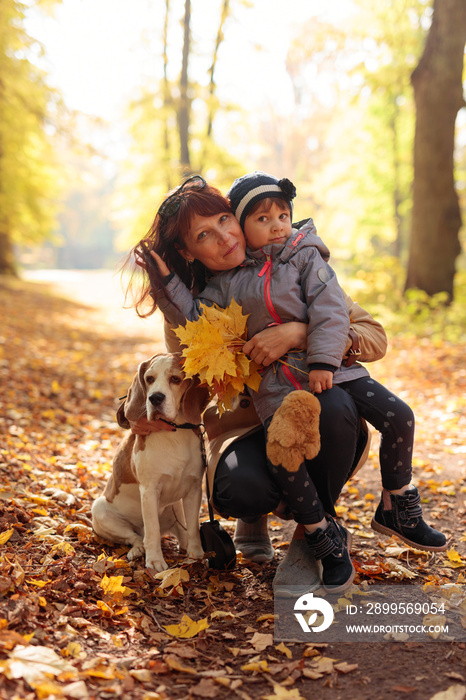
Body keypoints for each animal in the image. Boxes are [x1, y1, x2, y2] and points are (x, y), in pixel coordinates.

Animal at [92, 352, 208, 572]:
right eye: (149, 379)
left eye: (175, 379)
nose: (154, 397)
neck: (175, 432)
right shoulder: (149, 490)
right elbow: (152, 529)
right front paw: (154, 561)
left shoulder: (194, 489)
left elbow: (194, 528)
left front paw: (196, 556)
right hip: (100, 510)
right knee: (138, 537)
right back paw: (138, 550)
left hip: (176, 508)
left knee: (180, 532)